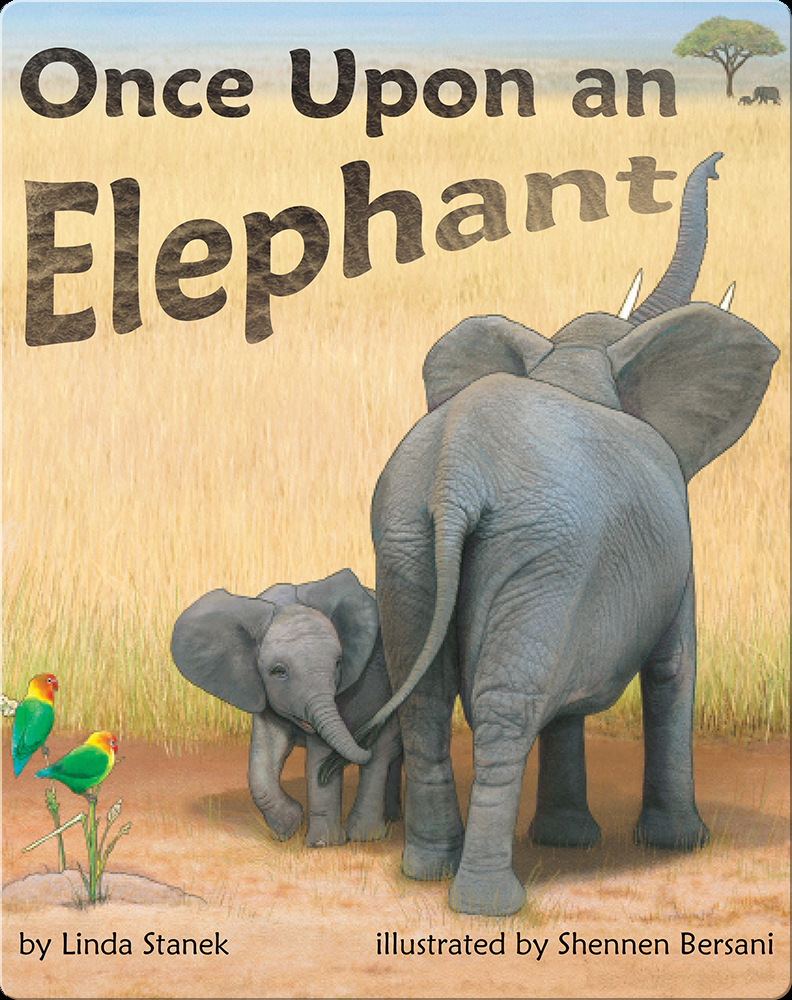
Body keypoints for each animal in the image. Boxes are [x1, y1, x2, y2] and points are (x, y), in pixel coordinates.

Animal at [171, 568, 402, 847]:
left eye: (339, 663)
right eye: (278, 672)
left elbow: (320, 753)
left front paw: (321, 845)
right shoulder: (261, 688)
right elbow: (265, 752)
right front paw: (288, 827)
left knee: (380, 755)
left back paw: (366, 836)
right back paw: (389, 819)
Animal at [319, 151, 779, 915]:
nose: (716, 167)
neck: (575, 358)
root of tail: (457, 473)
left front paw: (568, 841)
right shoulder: (667, 541)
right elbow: (672, 667)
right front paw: (680, 843)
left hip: (411, 542)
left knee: (426, 699)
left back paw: (428, 872)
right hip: (541, 550)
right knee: (507, 705)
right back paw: (487, 904)